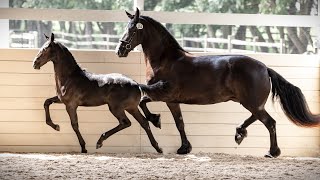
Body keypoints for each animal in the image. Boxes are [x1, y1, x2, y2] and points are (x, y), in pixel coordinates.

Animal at [32, 32, 164, 153]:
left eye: (45, 48)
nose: (35, 63)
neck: (70, 77)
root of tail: (136, 84)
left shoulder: (71, 105)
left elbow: (74, 124)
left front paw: (83, 147)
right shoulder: (61, 100)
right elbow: (46, 102)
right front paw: (55, 126)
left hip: (116, 108)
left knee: (125, 122)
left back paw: (100, 141)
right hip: (131, 108)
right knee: (144, 123)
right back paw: (158, 148)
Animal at [115, 8, 320, 158]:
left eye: (133, 29)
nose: (120, 50)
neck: (167, 61)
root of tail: (264, 68)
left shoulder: (164, 94)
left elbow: (144, 102)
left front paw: (156, 120)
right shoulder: (172, 101)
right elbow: (179, 123)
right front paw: (184, 148)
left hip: (252, 103)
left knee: (270, 122)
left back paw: (272, 152)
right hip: (250, 103)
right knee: (258, 117)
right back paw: (239, 133)